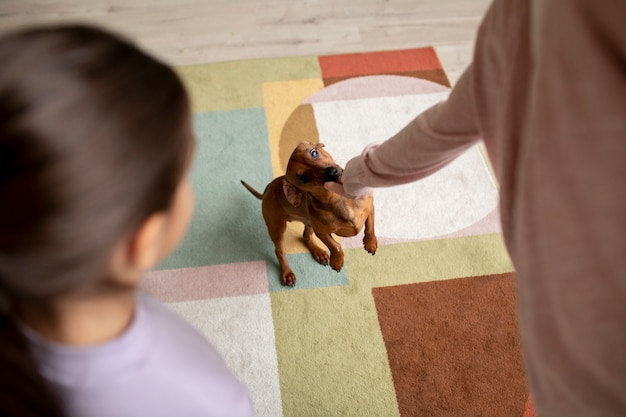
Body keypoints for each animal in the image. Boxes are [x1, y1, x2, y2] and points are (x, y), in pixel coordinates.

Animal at [239, 141, 376, 284]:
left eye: (314, 152)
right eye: (303, 179)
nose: (332, 172)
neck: (339, 199)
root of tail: (267, 190)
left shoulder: (370, 207)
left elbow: (370, 228)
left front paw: (370, 243)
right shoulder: (321, 232)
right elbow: (335, 246)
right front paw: (337, 260)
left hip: (308, 222)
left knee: (306, 236)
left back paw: (318, 253)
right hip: (277, 228)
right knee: (279, 251)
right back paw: (287, 273)